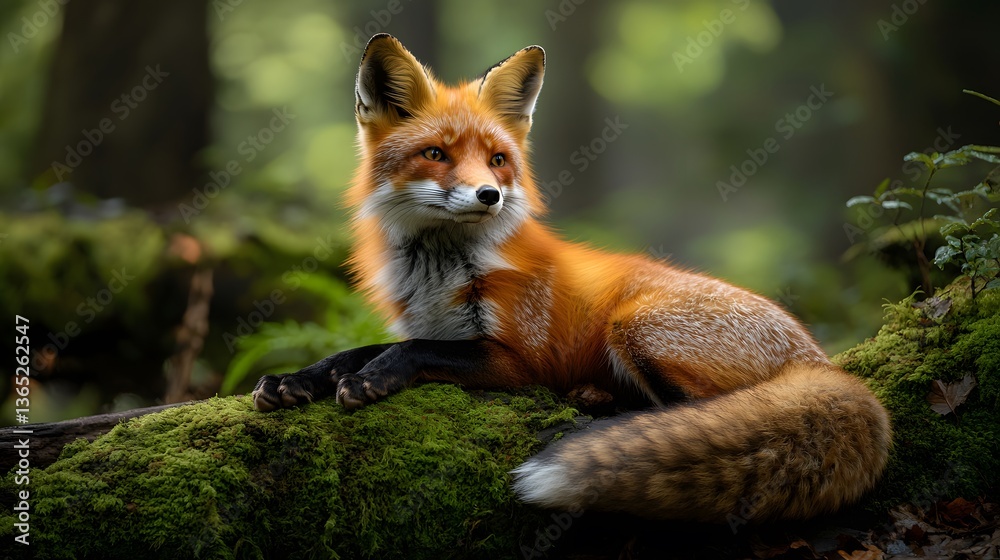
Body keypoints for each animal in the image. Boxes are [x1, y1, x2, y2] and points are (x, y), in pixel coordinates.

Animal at [252, 33, 891, 523]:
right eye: (436, 154)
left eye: (498, 160)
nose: (489, 195)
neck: (440, 271)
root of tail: (821, 362)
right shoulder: (437, 324)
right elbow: (356, 350)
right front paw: (295, 380)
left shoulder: (520, 358)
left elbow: (413, 351)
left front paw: (372, 378)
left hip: (637, 327)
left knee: (706, 410)